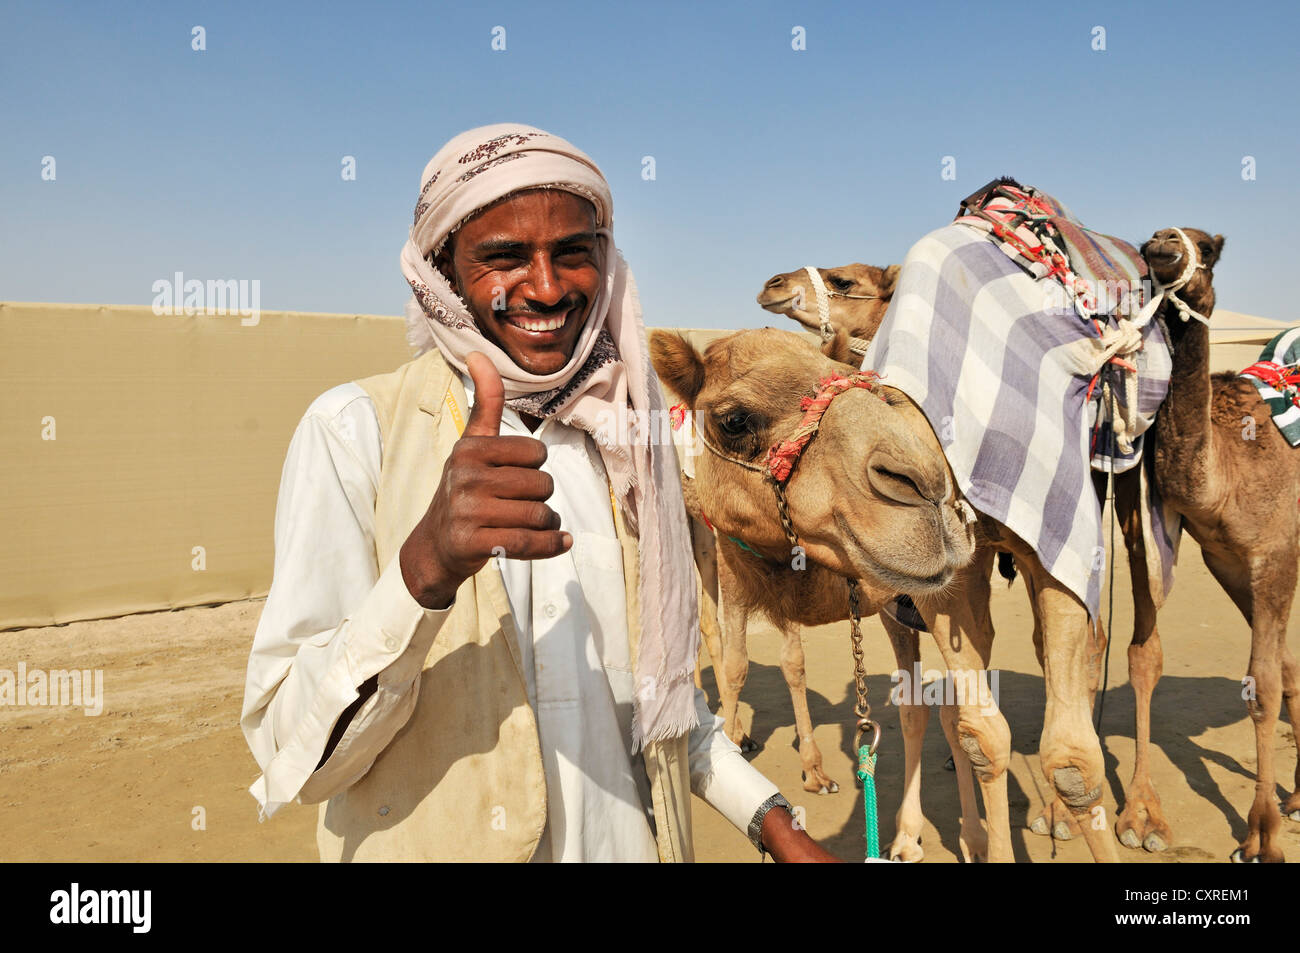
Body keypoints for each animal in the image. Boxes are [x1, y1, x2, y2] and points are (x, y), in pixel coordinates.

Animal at [655, 327, 1123, 863]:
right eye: (733, 419)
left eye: (861, 380)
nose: (925, 484)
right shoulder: (737, 551)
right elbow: (745, 664)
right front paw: (738, 747)